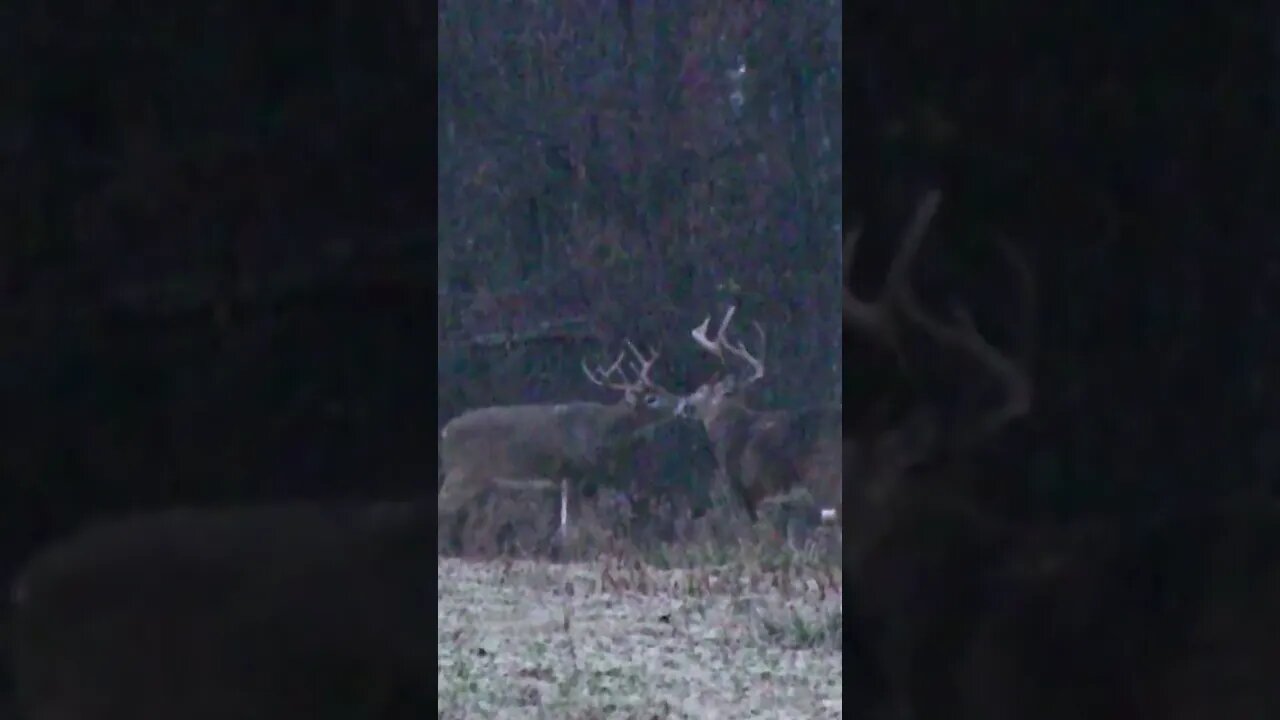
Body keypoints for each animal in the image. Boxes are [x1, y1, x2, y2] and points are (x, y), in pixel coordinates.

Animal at [437, 338, 680, 545]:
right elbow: (574, 525)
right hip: (464, 473)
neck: (603, 429)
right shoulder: (573, 473)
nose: (681, 402)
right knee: (444, 506)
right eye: (651, 399)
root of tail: (446, 431)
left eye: (661, 388)